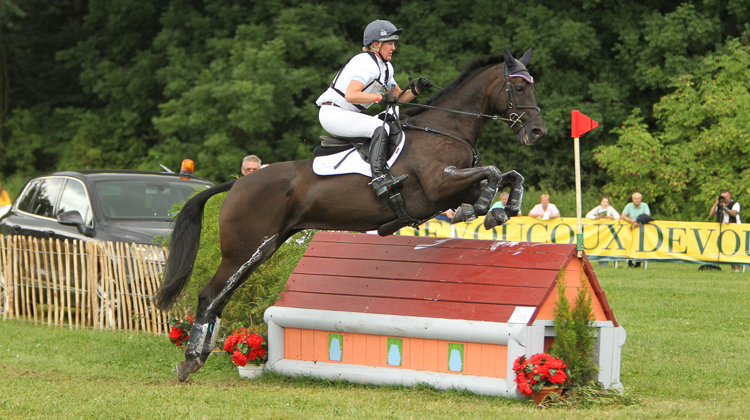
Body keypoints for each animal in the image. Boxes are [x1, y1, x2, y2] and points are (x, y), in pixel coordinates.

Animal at [156, 46, 548, 380]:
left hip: (261, 249)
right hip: (245, 249)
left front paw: (499, 211)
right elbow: (493, 172)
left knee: (221, 297)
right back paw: (188, 362)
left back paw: (199, 357)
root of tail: (236, 184)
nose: (537, 132)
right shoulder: (438, 186)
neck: (447, 128)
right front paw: (480, 209)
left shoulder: (453, 187)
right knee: (209, 295)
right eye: (517, 86)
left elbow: (510, 176)